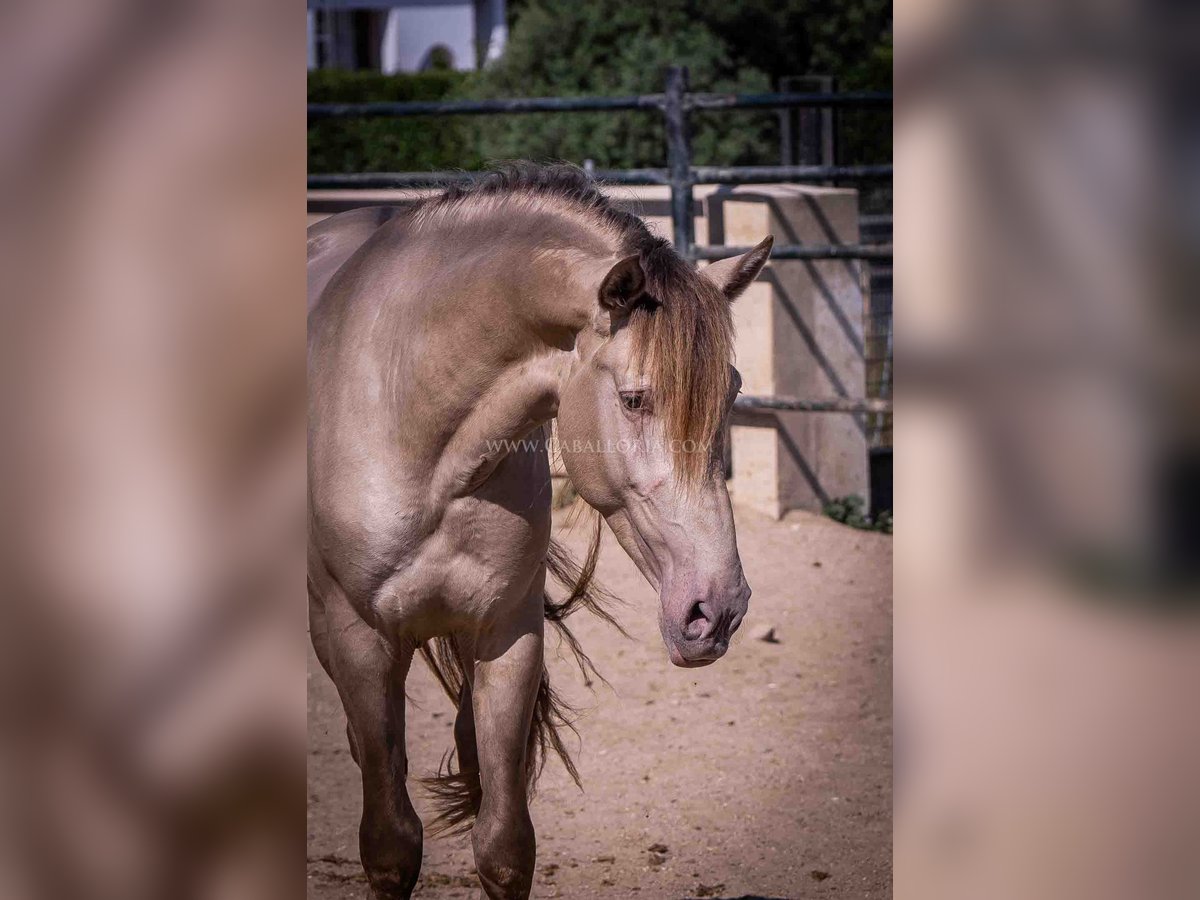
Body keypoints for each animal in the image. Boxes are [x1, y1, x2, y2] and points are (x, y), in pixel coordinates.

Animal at [309, 165, 772, 897]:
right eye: (634, 398)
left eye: (730, 392)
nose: (718, 609)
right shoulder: (361, 644)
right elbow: (390, 845)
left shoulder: (508, 634)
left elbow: (504, 844)